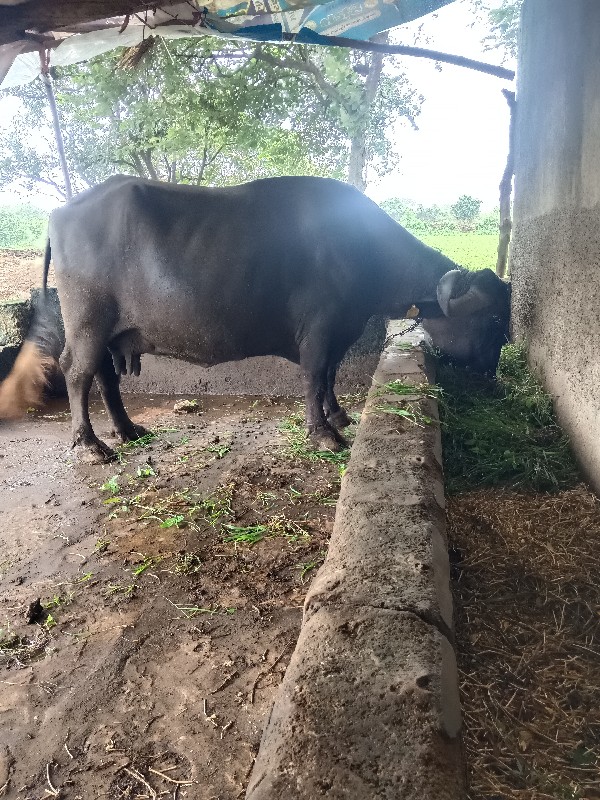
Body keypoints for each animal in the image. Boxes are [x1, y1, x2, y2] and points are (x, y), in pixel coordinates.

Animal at [0, 175, 510, 462]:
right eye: (492, 324)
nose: (491, 376)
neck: (363, 248)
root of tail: (60, 214)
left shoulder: (342, 330)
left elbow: (330, 375)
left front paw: (338, 416)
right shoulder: (320, 329)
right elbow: (314, 375)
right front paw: (323, 433)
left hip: (111, 330)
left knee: (105, 376)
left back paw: (127, 430)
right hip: (88, 320)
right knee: (77, 372)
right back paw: (91, 444)